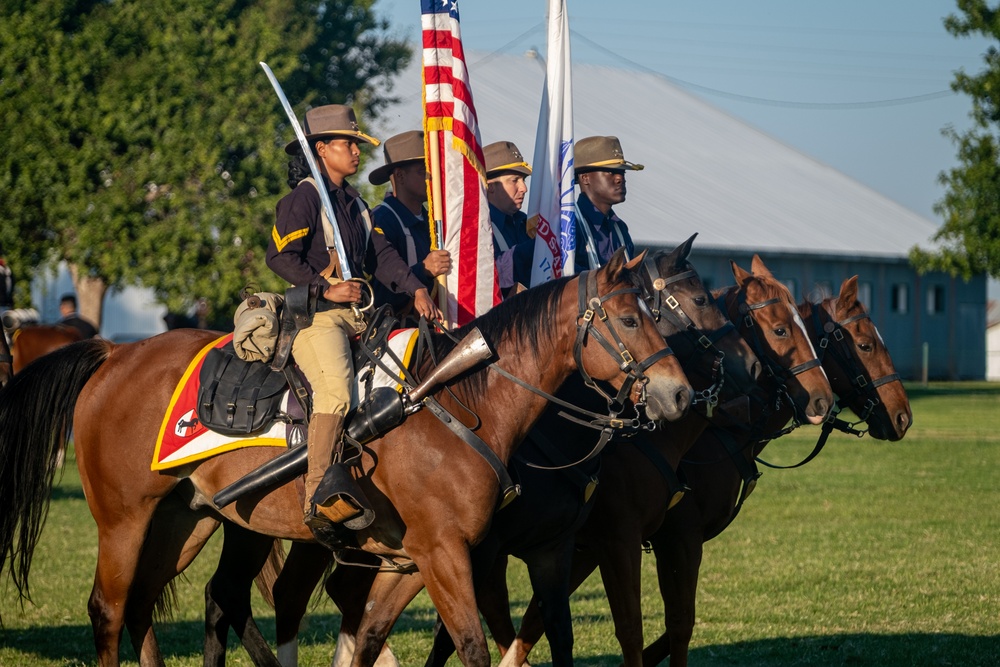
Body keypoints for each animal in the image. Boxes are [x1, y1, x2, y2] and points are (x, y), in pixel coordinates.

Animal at [0, 249, 696, 667]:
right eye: (630, 319)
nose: (679, 394)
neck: (458, 404)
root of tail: (115, 354)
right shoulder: (445, 556)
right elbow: (471, 646)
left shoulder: (408, 564)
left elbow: (366, 638)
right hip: (124, 522)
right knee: (110, 611)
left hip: (184, 522)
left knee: (149, 606)